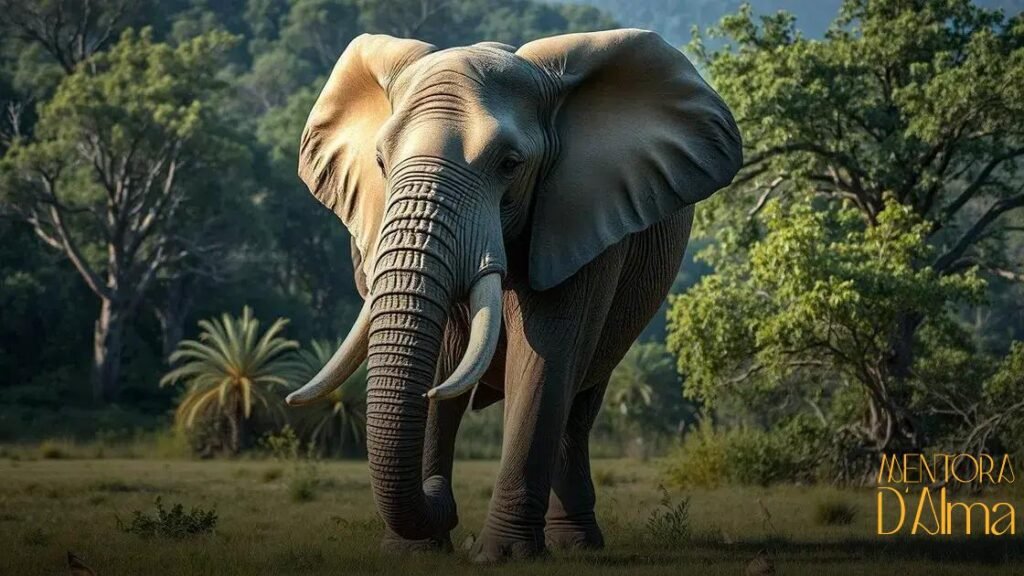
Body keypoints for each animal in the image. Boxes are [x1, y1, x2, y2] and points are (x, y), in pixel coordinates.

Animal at [285, 28, 742, 562]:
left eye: (509, 165)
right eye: (380, 161)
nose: (442, 498)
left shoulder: (577, 215)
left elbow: (545, 356)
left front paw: (500, 554)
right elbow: (442, 358)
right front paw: (413, 552)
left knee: (581, 395)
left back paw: (576, 546)